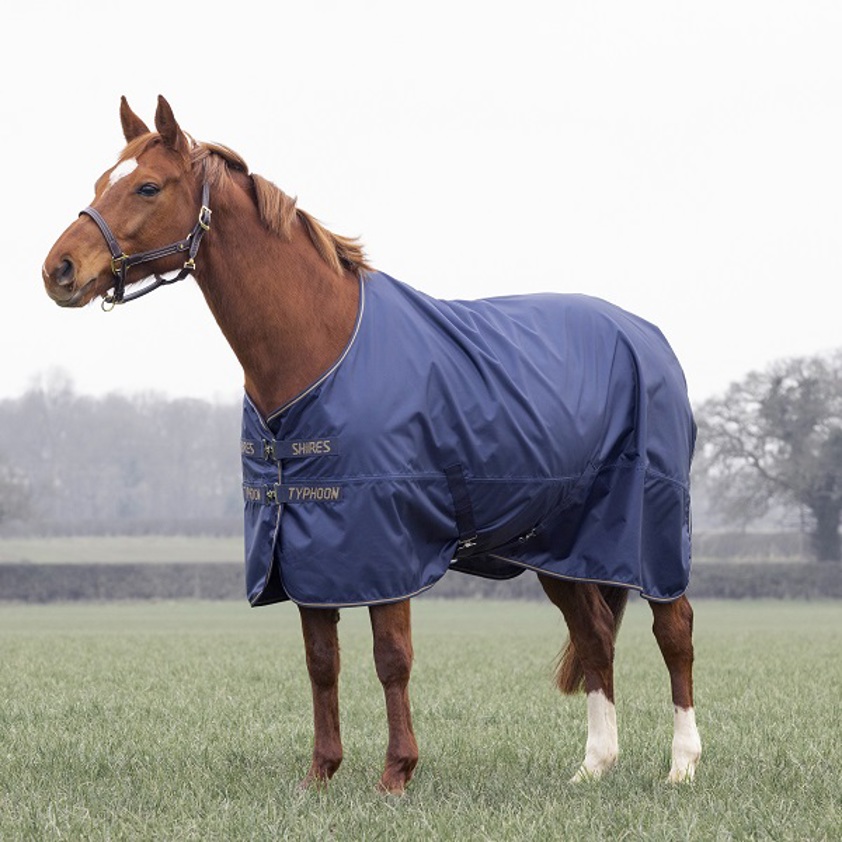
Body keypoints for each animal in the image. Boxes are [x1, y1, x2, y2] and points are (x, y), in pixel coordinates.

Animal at [42, 96, 701, 793]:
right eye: (100, 182)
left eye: (148, 186)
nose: (58, 269)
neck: (320, 346)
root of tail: (650, 337)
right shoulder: (304, 549)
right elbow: (321, 661)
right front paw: (321, 774)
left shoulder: (387, 543)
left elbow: (391, 658)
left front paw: (396, 775)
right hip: (560, 545)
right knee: (597, 635)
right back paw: (594, 766)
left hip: (650, 532)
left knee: (674, 630)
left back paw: (682, 765)